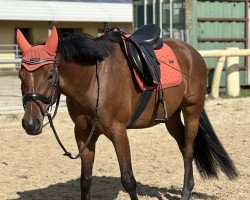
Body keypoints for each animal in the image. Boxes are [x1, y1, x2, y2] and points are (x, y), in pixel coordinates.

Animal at [18, 27, 238, 200]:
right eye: (21, 75)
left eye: (50, 75)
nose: (30, 123)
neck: (92, 81)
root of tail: (192, 52)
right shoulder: (83, 134)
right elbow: (85, 180)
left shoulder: (118, 132)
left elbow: (128, 179)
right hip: (172, 118)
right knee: (184, 148)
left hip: (192, 110)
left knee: (189, 150)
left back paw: (185, 192)